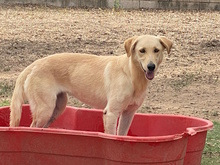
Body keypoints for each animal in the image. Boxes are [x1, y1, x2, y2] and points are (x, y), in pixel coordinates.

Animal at [9, 34, 172, 135]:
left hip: (57, 107)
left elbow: (122, 136)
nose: (151, 67)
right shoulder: (111, 113)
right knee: (31, 128)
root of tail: (34, 64)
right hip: (45, 109)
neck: (132, 75)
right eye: (142, 51)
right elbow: (112, 137)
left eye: (156, 50)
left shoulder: (128, 113)